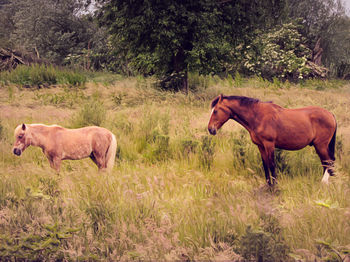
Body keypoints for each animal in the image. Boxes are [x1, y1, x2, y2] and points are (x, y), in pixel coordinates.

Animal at [208, 94, 336, 186]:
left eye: (215, 111)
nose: (210, 129)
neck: (257, 116)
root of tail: (330, 114)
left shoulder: (269, 145)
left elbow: (272, 165)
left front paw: (275, 186)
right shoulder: (260, 146)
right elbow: (265, 165)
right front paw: (268, 185)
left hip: (321, 145)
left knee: (328, 162)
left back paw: (323, 182)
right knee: (326, 163)